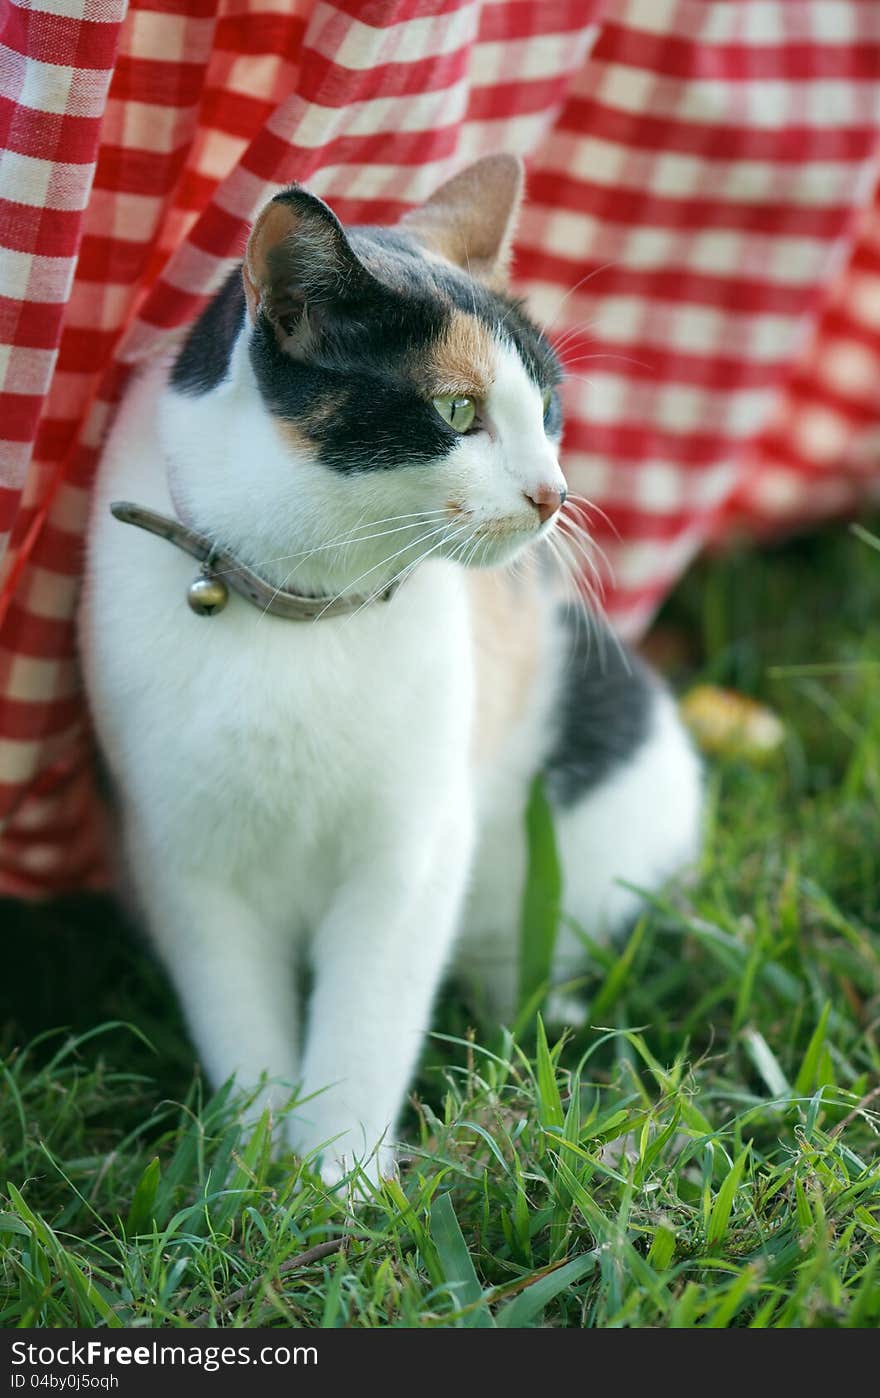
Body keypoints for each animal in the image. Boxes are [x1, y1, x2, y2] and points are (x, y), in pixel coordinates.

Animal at [79, 155, 702, 1179]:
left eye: (549, 409)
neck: (299, 611)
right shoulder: (184, 857)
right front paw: (256, 1174)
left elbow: (366, 1026)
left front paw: (339, 1182)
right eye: (455, 411)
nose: (554, 494)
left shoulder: (411, 850)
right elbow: (241, 1026)